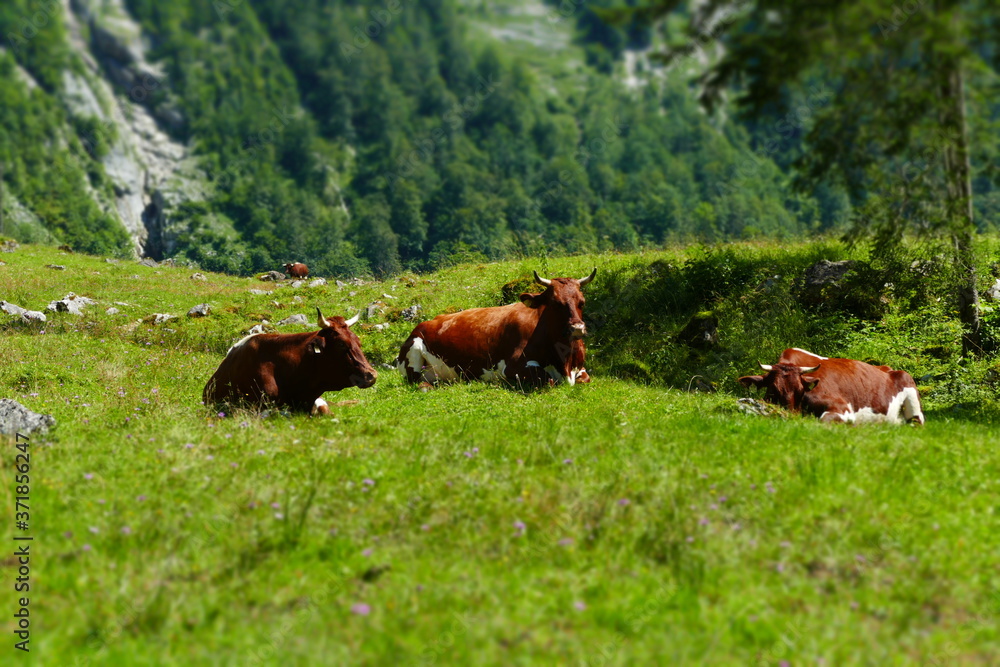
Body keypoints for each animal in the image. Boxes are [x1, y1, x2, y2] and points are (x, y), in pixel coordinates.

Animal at [397, 269, 597, 387]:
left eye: (582, 302)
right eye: (556, 303)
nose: (577, 328)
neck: (565, 362)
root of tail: (427, 321)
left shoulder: (581, 369)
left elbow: (585, 379)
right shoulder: (512, 367)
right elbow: (547, 379)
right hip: (414, 352)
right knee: (416, 380)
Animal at [738, 348, 924, 424]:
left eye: (801, 391)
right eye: (773, 391)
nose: (790, 417)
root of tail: (887, 368)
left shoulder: (842, 407)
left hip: (911, 394)